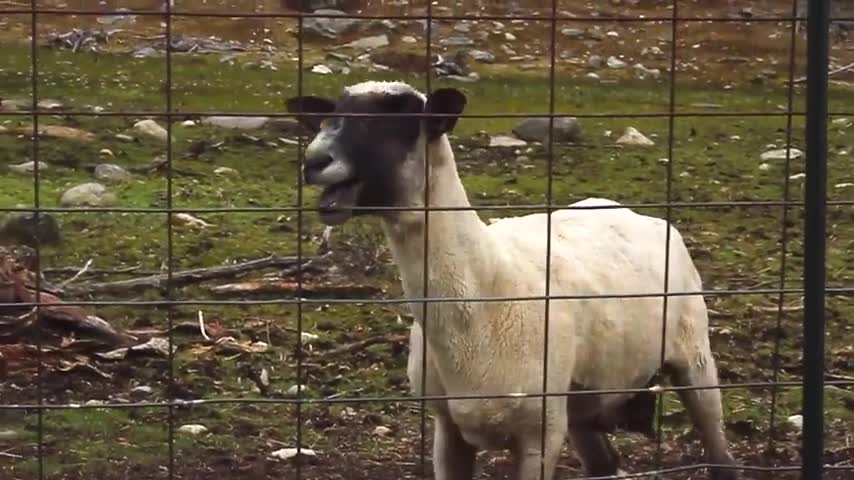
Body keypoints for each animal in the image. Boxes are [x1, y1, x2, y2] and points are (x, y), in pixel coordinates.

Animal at [286, 80, 739, 480]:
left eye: (400, 119)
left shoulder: (541, 434)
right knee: (604, 465)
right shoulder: (448, 430)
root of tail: (631, 211)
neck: (482, 296)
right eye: (332, 113)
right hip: (582, 401)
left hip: (693, 354)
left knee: (722, 456)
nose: (314, 161)